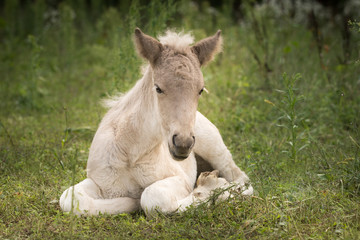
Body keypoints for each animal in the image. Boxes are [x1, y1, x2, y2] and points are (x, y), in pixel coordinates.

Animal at [59, 28, 253, 218]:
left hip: (215, 149)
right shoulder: (100, 181)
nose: (183, 144)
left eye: (200, 90)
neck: (130, 153)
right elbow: (70, 199)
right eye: (158, 88)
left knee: (242, 180)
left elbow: (152, 197)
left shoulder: (179, 178)